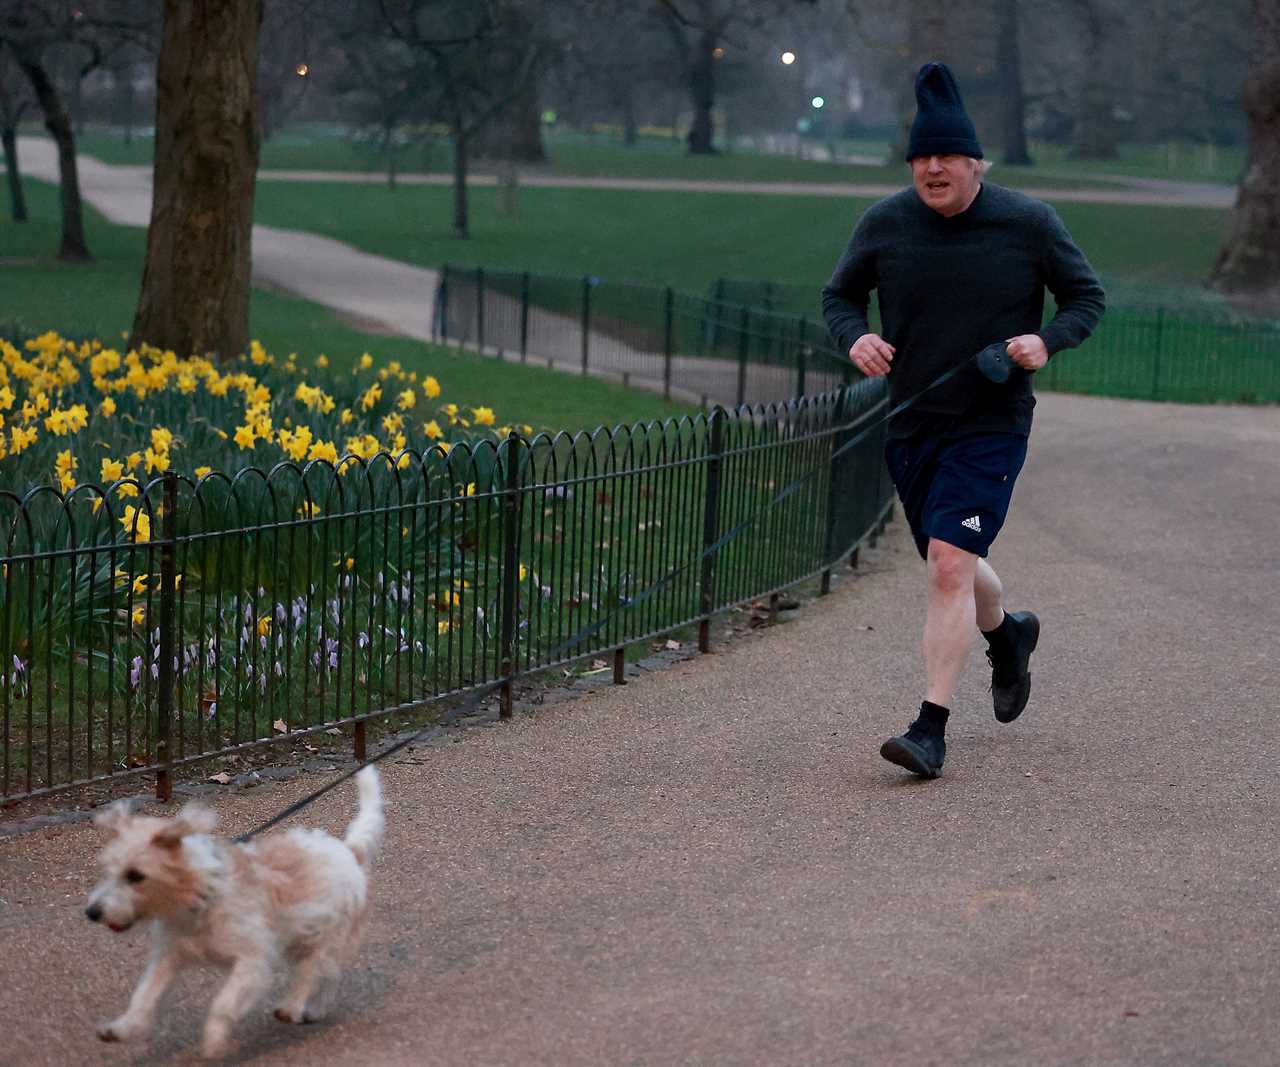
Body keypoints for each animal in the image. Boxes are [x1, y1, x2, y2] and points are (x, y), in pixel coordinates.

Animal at [84, 767, 381, 1054]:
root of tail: (348, 851)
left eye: (135, 876)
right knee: (324, 976)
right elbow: (144, 996)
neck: (202, 895)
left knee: (315, 972)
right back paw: (311, 1009)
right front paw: (122, 1028)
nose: (92, 913)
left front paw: (213, 1042)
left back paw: (297, 1007)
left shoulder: (252, 962)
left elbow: (223, 1005)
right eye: (107, 870)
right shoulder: (169, 957)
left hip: (326, 939)